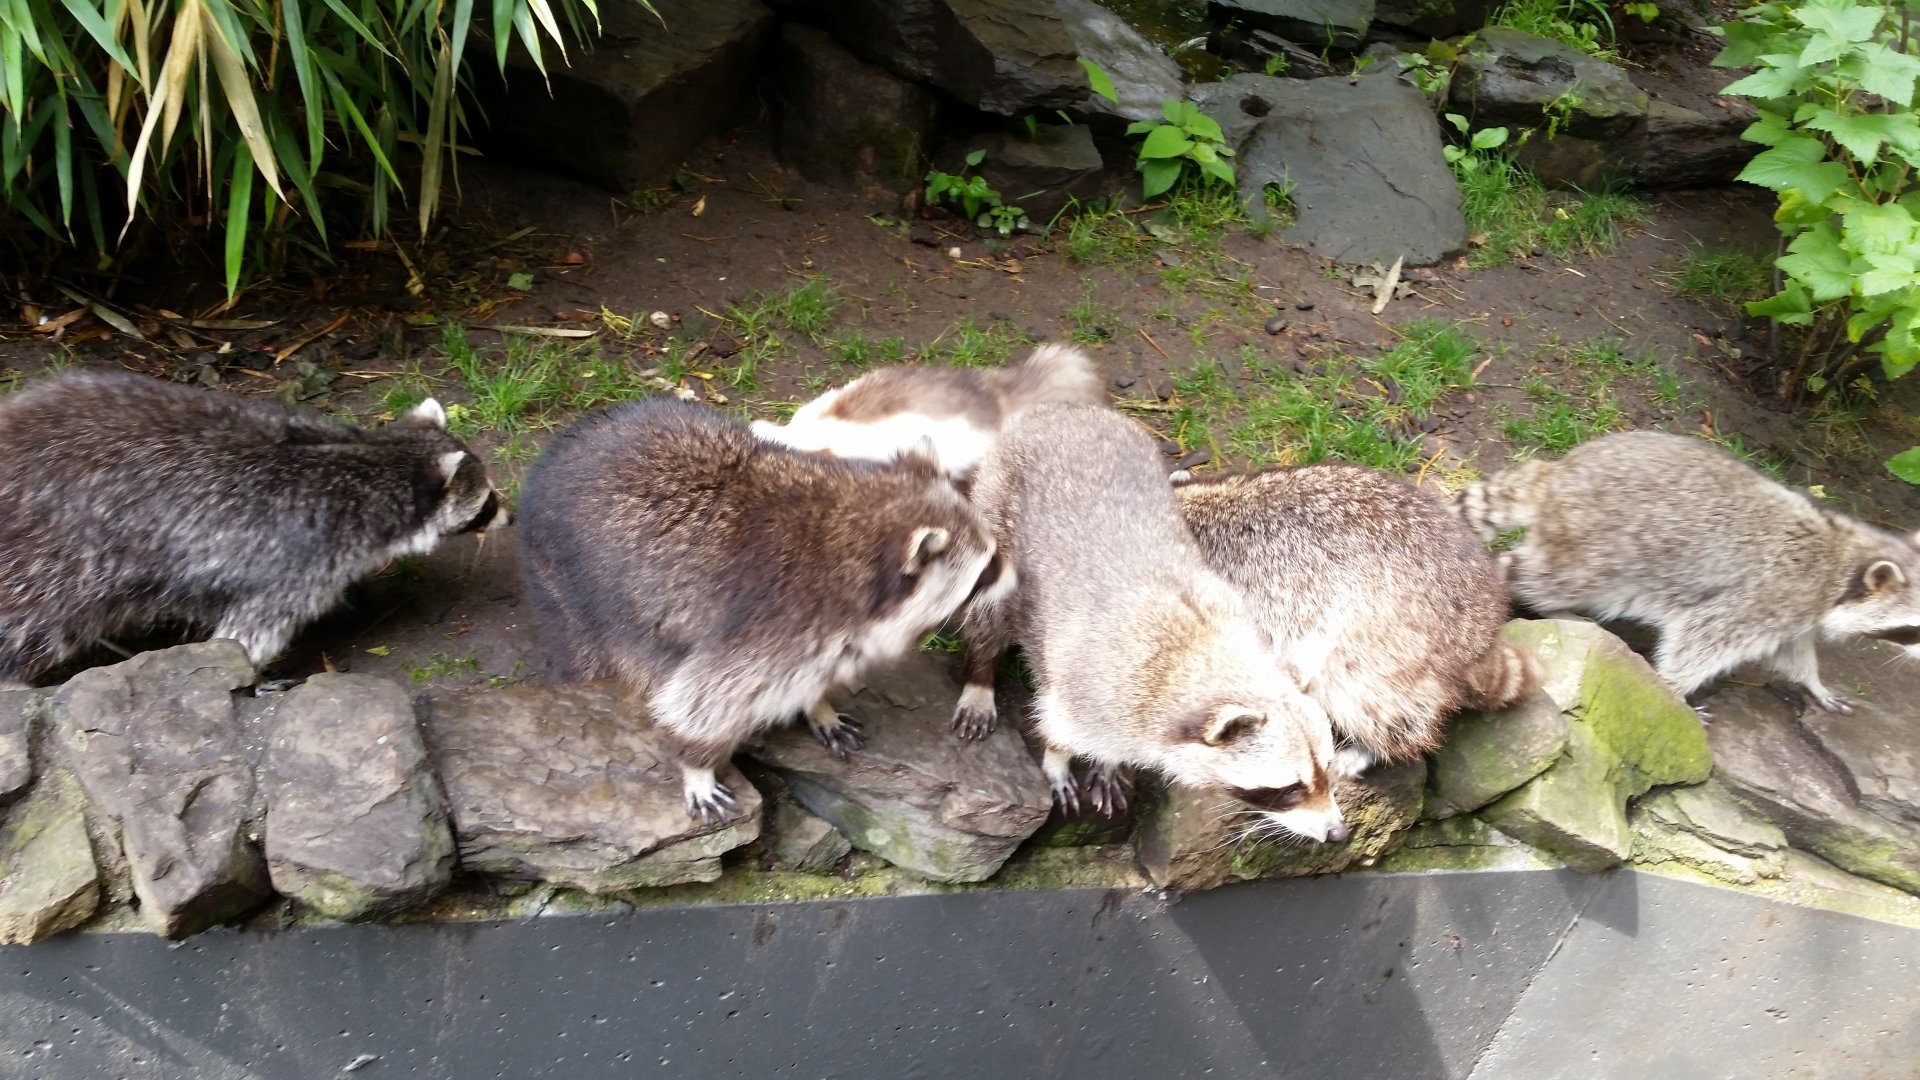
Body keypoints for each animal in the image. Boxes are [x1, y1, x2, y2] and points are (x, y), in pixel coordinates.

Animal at [0, 369, 508, 687]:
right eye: (486, 501)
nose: (510, 516)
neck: (372, 459)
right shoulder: (297, 562)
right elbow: (246, 634)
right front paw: (247, 675)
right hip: (49, 567)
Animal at [516, 396, 1009, 822]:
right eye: (985, 570)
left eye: (994, 553)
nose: (1018, 578)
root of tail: (567, 441)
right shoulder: (775, 622)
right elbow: (703, 701)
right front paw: (697, 766)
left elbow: (815, 673)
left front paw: (819, 706)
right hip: (565, 584)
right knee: (592, 653)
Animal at [953, 402, 1348, 843]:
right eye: (1289, 789)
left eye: (1327, 770)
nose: (1338, 834)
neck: (1204, 650)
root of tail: (1060, 409)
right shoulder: (1089, 685)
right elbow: (1058, 723)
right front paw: (1057, 758)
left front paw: (1109, 762)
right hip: (994, 506)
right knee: (988, 609)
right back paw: (980, 675)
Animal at [1459, 430, 1920, 711]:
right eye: (1913, 629)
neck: (1844, 555)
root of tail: (1559, 472)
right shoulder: (1771, 594)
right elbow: (1701, 638)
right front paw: (1673, 691)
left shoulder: (1794, 613)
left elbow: (1791, 651)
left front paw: (1813, 681)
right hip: (1597, 543)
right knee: (1550, 577)